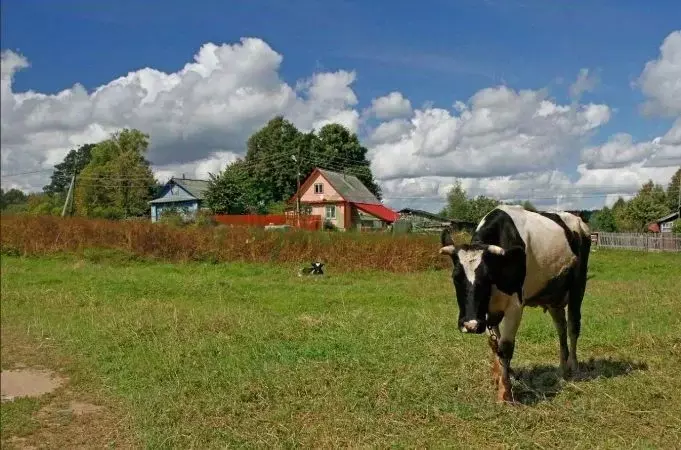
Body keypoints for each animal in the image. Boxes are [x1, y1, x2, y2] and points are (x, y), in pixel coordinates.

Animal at [438, 206, 592, 402]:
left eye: (487, 277)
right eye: (456, 277)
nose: (470, 325)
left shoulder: (515, 307)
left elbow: (505, 347)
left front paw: (506, 393)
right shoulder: (486, 312)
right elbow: (494, 345)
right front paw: (498, 378)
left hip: (578, 286)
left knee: (573, 326)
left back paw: (574, 366)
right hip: (553, 296)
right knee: (561, 327)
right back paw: (562, 369)